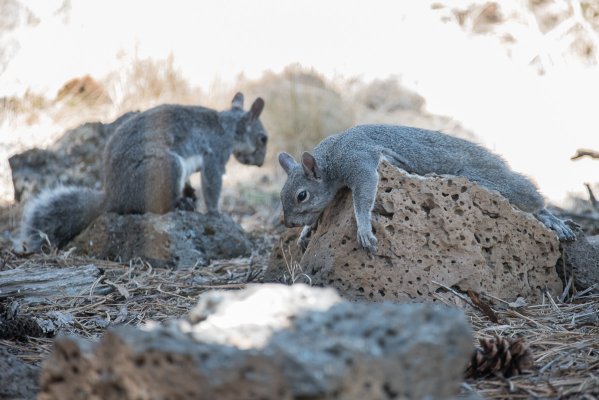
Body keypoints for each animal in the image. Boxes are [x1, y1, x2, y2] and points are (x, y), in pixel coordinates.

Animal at [15, 92, 268, 252]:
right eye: (263, 138)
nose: (261, 163)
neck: (229, 127)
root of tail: (113, 198)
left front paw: (194, 195)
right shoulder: (215, 154)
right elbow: (212, 184)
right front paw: (216, 213)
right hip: (165, 168)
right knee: (154, 207)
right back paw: (179, 204)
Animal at [280, 124, 576, 253]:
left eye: (302, 195)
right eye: (282, 196)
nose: (288, 223)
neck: (331, 157)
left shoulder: (359, 161)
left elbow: (364, 196)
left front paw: (363, 230)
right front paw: (306, 232)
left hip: (486, 179)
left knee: (530, 197)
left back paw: (553, 220)